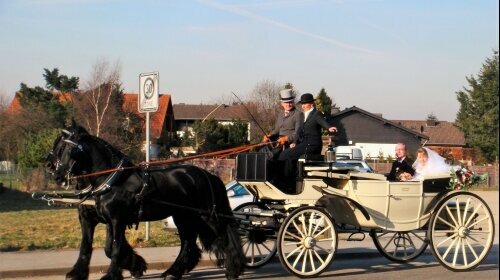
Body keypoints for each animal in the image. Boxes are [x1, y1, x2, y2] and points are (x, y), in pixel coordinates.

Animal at [46, 124, 245, 280]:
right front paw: (78, 273)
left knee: (225, 237)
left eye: (68, 150)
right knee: (188, 244)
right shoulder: (92, 219)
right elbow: (91, 246)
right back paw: (173, 272)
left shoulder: (117, 219)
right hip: (183, 217)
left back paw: (233, 269)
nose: (55, 174)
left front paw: (113, 274)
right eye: (58, 148)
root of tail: (207, 174)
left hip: (207, 216)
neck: (110, 179)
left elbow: (115, 248)